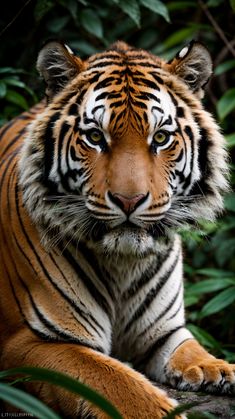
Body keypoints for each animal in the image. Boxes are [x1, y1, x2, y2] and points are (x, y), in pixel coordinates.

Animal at [0, 38, 234, 416]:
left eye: (161, 137)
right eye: (95, 137)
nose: (129, 200)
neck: (123, 261)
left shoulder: (165, 332)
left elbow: (191, 349)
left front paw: (219, 369)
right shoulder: (36, 341)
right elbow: (117, 383)